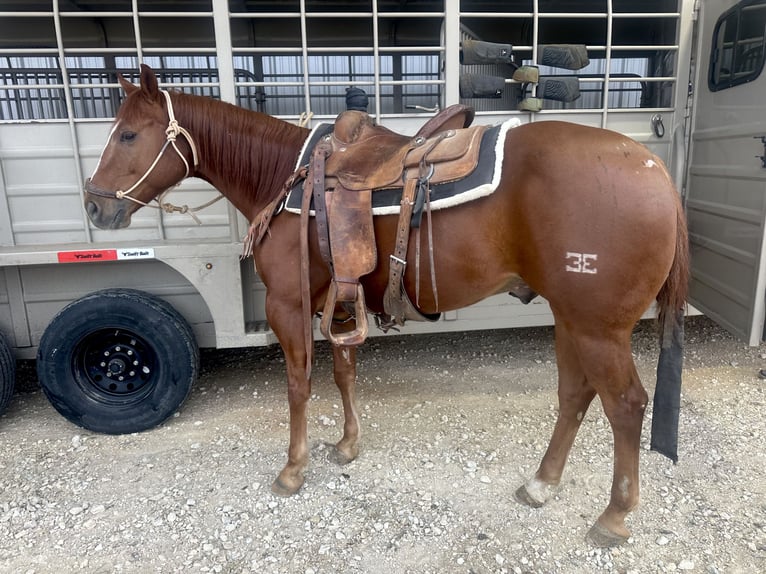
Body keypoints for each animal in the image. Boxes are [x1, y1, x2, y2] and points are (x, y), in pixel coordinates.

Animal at [82, 65, 688, 548]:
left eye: (129, 134)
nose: (93, 206)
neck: (287, 178)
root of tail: (655, 171)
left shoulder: (288, 305)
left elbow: (299, 384)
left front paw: (294, 468)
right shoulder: (337, 301)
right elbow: (344, 372)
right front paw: (347, 445)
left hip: (599, 328)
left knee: (626, 405)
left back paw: (614, 516)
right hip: (571, 319)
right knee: (574, 395)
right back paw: (542, 483)